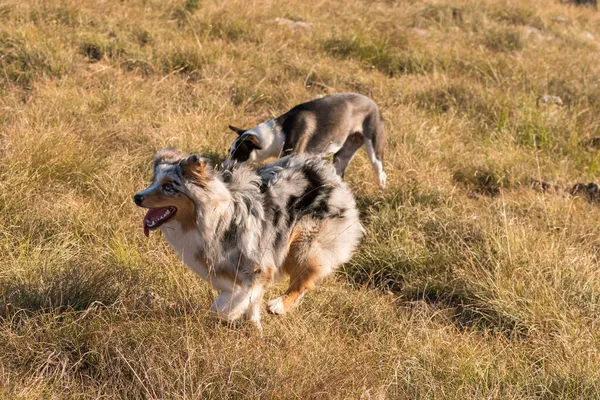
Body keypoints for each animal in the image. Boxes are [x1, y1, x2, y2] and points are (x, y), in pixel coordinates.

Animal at [134, 148, 364, 328]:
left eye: (168, 186)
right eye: (153, 181)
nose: (136, 197)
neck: (216, 219)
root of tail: (328, 172)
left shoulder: (258, 266)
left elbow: (229, 302)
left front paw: (231, 314)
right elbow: (248, 299)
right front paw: (254, 328)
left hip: (306, 245)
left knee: (303, 282)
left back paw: (278, 305)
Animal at [223, 93, 386, 188]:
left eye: (238, 154)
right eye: (229, 151)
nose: (223, 166)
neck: (277, 133)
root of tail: (373, 103)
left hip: (374, 151)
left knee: (381, 173)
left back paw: (381, 189)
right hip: (341, 157)